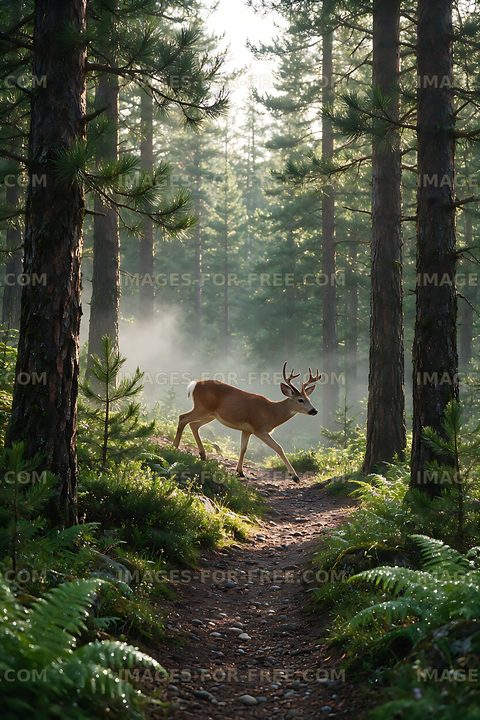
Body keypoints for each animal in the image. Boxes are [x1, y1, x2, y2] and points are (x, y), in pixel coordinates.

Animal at [172, 363, 322, 483]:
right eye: (300, 400)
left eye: (309, 399)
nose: (314, 411)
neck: (272, 413)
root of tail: (194, 384)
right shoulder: (258, 428)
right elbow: (278, 448)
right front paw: (295, 477)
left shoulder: (247, 430)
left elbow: (243, 448)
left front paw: (240, 472)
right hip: (203, 407)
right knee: (182, 417)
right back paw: (175, 447)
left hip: (210, 414)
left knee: (193, 424)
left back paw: (202, 455)